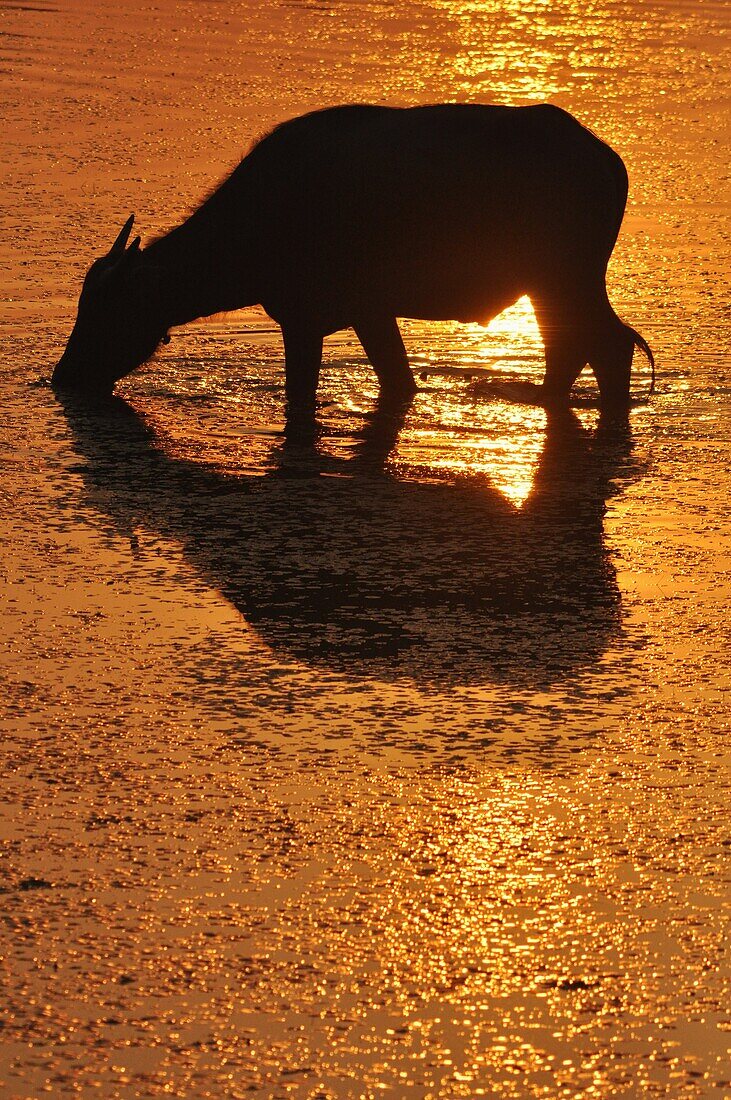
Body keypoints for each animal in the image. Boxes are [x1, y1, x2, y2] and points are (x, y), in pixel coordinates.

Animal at [52, 102, 655, 413]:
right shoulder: (362, 315)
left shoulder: (314, 318)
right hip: (554, 285)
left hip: (564, 279)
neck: (257, 221)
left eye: (107, 309)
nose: (64, 375)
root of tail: (606, 158)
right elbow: (398, 382)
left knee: (605, 344)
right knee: (581, 346)